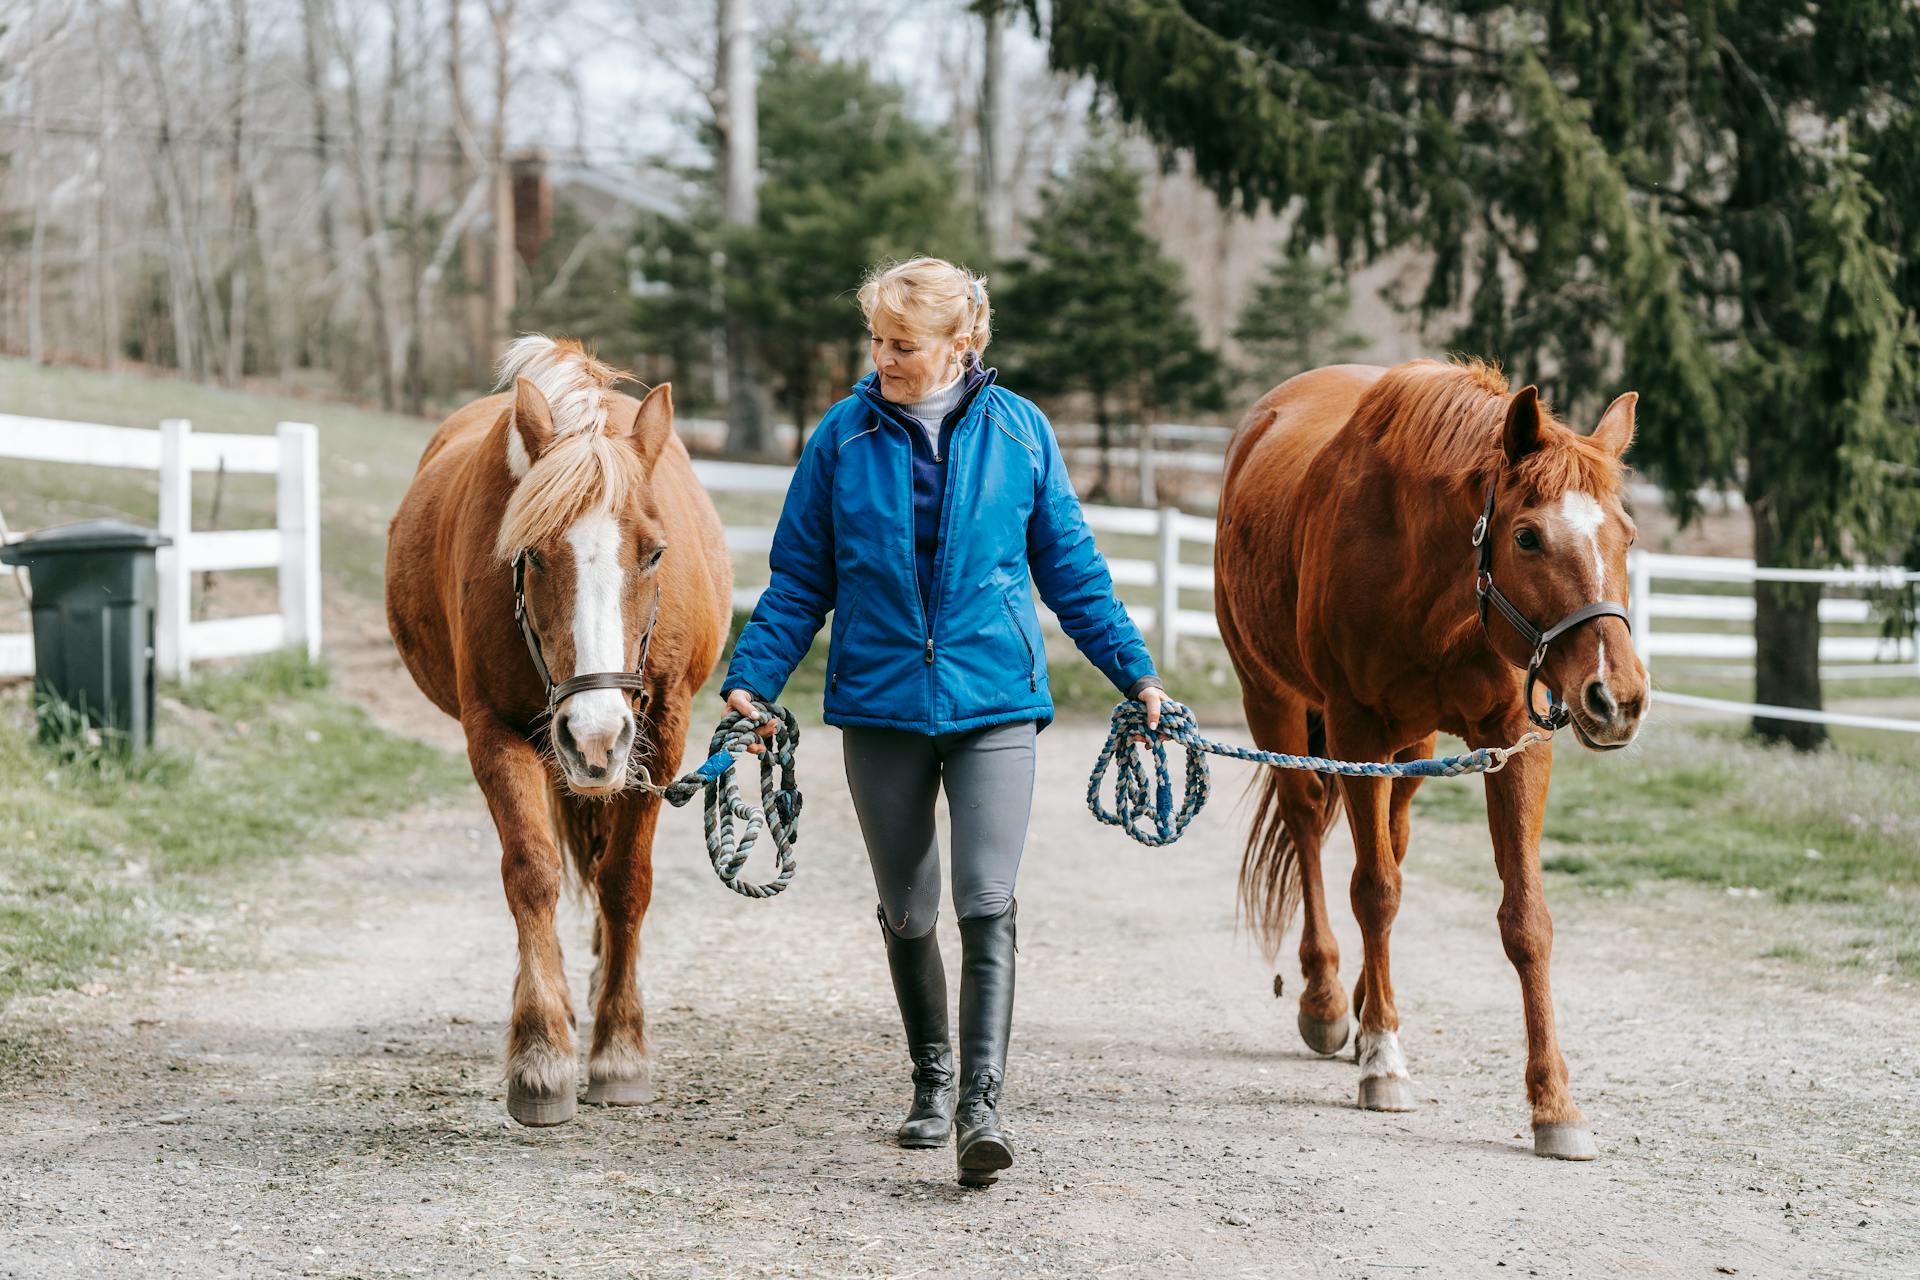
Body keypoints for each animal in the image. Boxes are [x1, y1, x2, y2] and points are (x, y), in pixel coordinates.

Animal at [385, 335, 729, 1128]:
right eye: (533, 553)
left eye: (655, 552)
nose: (595, 735)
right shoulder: (495, 733)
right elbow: (532, 873)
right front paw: (541, 1054)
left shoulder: (659, 737)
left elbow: (626, 881)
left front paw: (620, 1050)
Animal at [1213, 360, 1651, 1159]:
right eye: (1528, 537)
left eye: (1627, 535)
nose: (1618, 697)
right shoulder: (1356, 731)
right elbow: (1374, 891)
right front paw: (1383, 1059)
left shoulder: (1514, 738)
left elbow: (1526, 919)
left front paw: (1555, 1103)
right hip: (1275, 702)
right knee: (1307, 824)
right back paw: (1329, 999)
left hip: (1410, 750)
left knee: (1395, 833)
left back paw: (1362, 998)